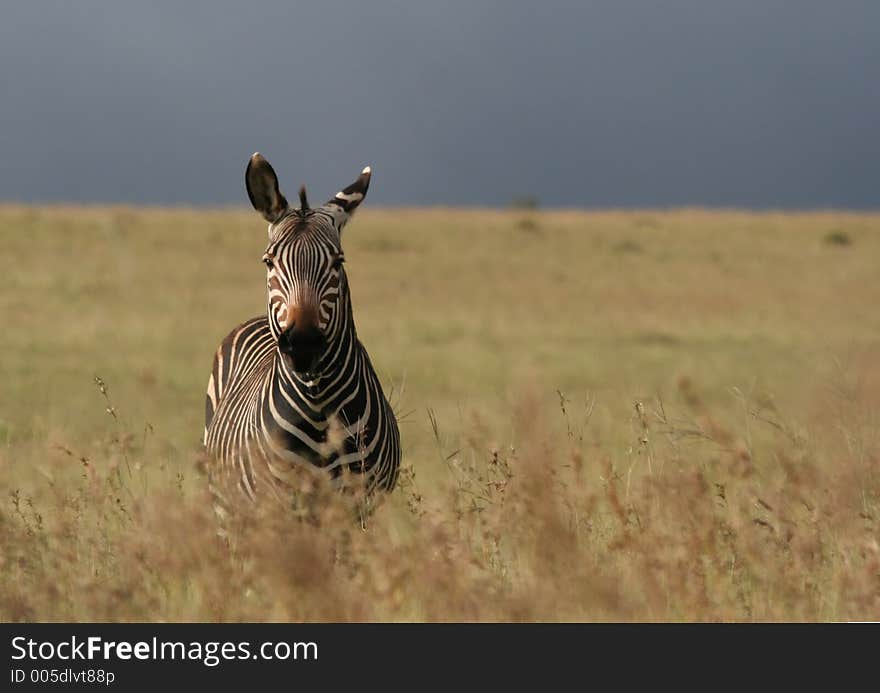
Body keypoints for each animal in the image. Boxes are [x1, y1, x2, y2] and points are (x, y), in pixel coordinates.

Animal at [205, 153, 400, 520]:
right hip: (228, 505)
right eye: (269, 262)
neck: (319, 407)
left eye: (338, 262)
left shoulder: (358, 506)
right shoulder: (279, 504)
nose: (303, 343)